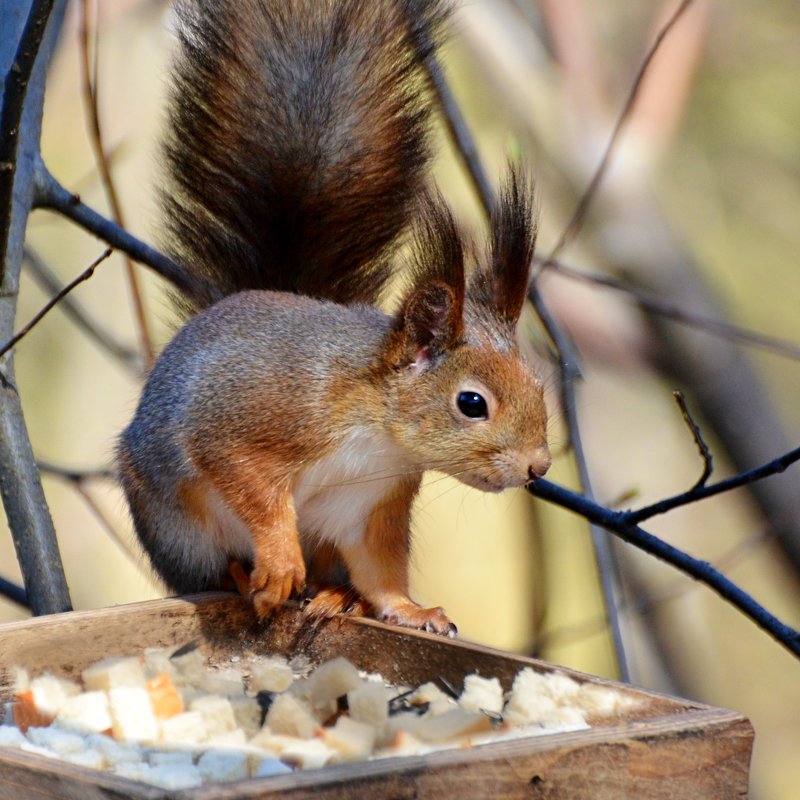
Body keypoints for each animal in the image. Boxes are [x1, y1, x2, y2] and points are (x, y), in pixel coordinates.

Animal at [117, 0, 552, 636]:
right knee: (214, 561)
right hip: (179, 530)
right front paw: (278, 562)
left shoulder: (372, 505)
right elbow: (248, 481)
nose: (537, 466)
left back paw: (337, 596)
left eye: (542, 390)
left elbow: (381, 571)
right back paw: (248, 575)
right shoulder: (254, 418)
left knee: (343, 574)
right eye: (472, 403)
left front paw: (413, 610)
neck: (376, 431)